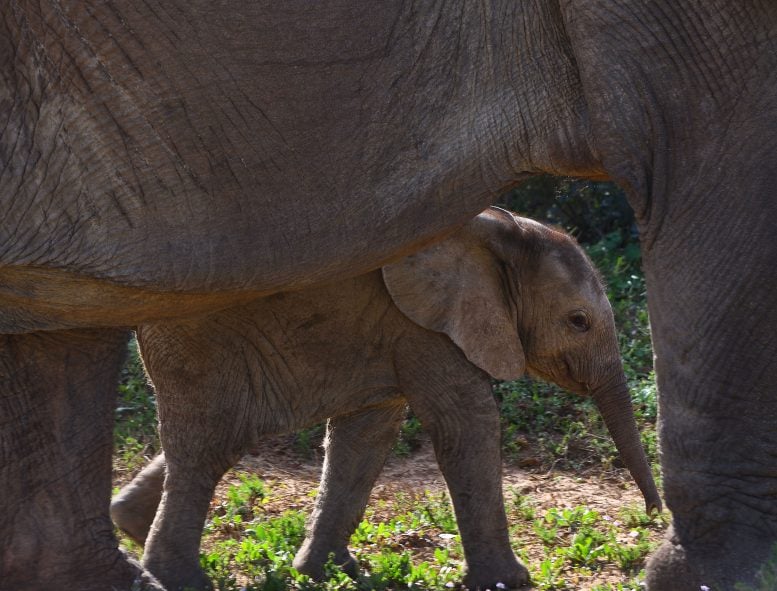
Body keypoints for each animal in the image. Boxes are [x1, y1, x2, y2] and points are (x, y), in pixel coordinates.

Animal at [110, 208, 661, 591]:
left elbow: (367, 433)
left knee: (229, 436)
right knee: (212, 444)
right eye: (578, 322)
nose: (656, 516)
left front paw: (329, 573)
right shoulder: (426, 325)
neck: (499, 234)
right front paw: (511, 582)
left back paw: (129, 525)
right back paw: (177, 578)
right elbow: (467, 421)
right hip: (201, 338)